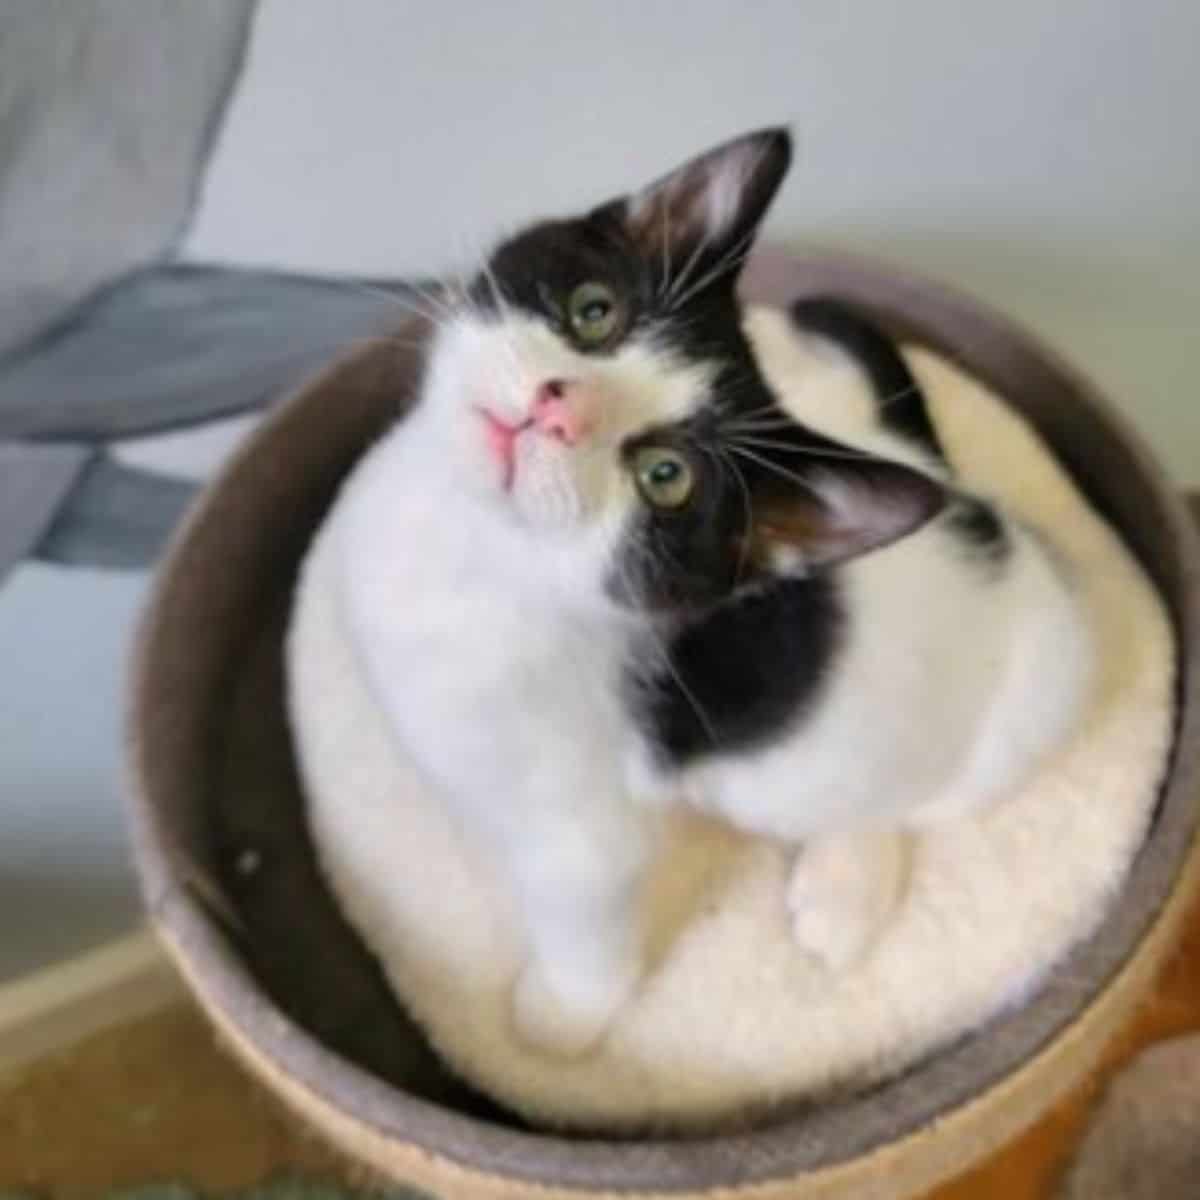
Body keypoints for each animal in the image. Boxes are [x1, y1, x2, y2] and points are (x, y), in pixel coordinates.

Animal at [328, 126, 1089, 1056]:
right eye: (594, 313)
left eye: (667, 477)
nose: (556, 409)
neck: (477, 553)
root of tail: (957, 493)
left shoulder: (585, 830)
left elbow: (586, 915)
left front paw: (562, 1018)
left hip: (1028, 699)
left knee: (906, 800)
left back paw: (844, 889)